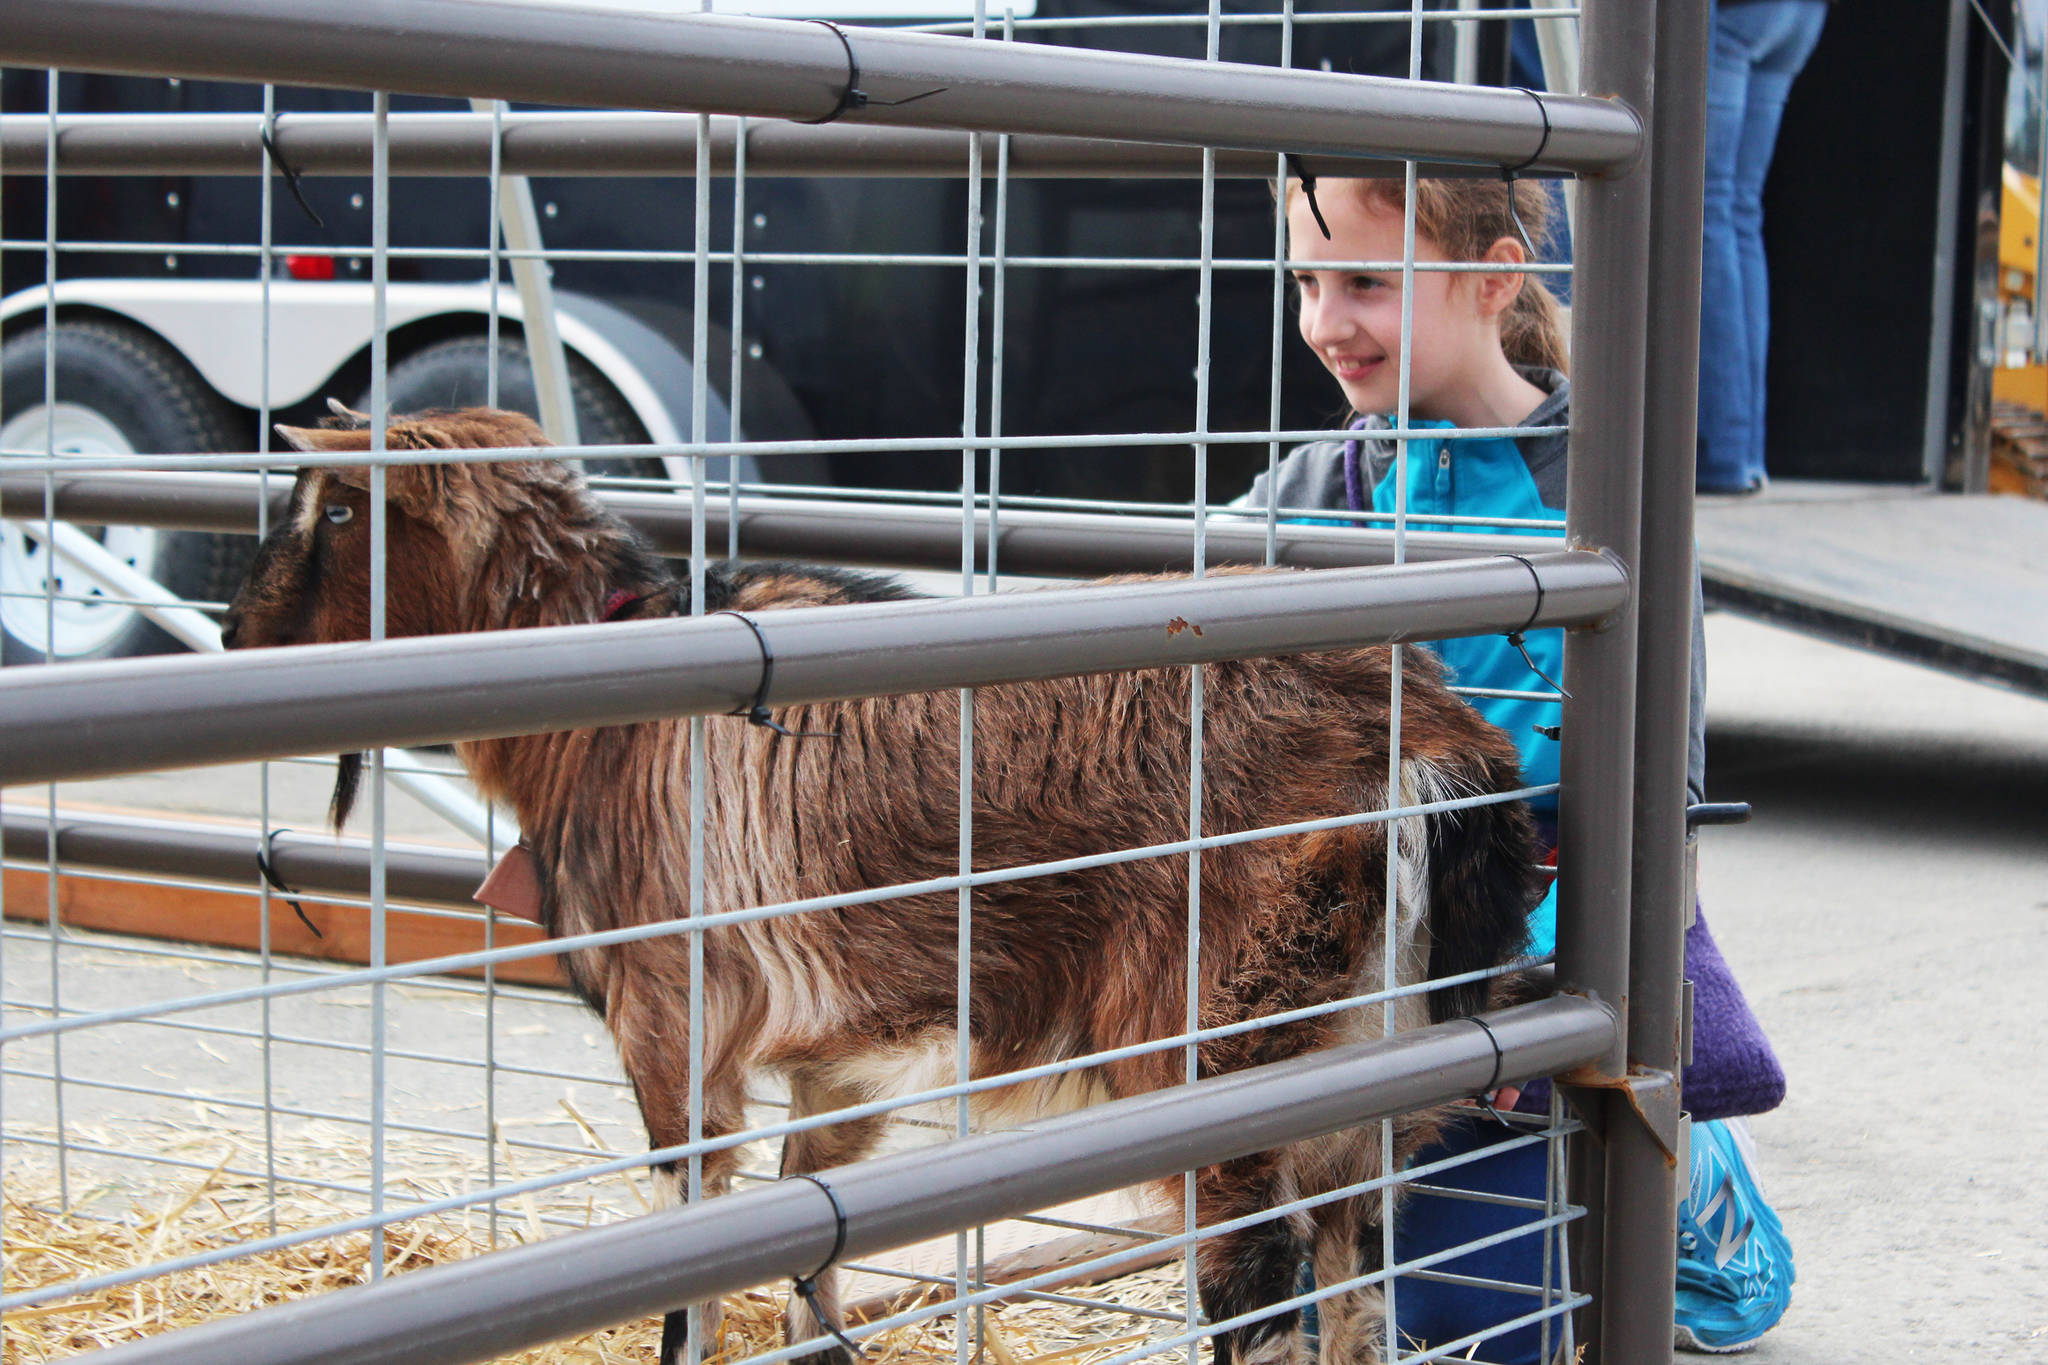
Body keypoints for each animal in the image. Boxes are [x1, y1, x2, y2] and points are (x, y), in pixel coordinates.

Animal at [220, 405, 1540, 1365]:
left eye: (337, 507)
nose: (234, 637)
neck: (604, 706)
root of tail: (1424, 745)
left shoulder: (673, 1023)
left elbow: (696, 1249)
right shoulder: (835, 1061)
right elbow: (807, 1250)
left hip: (1226, 1061)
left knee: (1260, 1303)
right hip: (1369, 1081)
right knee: (1361, 1294)